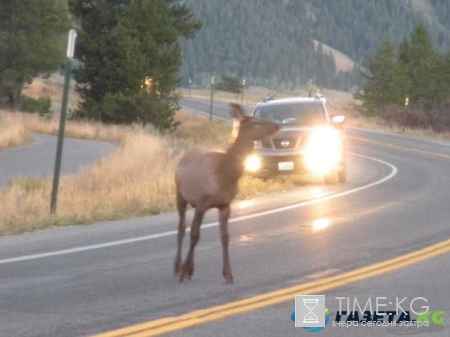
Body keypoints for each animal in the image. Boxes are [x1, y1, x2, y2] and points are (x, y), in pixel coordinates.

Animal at [174, 101, 280, 280]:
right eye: (255, 121)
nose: (277, 125)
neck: (223, 174)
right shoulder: (201, 202)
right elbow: (195, 234)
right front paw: (186, 270)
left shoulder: (225, 205)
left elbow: (225, 237)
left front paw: (228, 273)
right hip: (180, 195)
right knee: (182, 228)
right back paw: (177, 267)